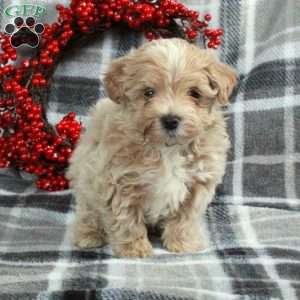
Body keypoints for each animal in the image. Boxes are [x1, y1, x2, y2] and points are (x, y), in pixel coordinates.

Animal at [67, 37, 237, 258]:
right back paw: (89, 235)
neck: (168, 148)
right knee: (88, 212)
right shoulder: (119, 181)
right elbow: (126, 218)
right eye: (149, 93)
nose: (171, 120)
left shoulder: (198, 183)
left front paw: (183, 243)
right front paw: (134, 248)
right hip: (85, 182)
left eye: (195, 93)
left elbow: (185, 218)